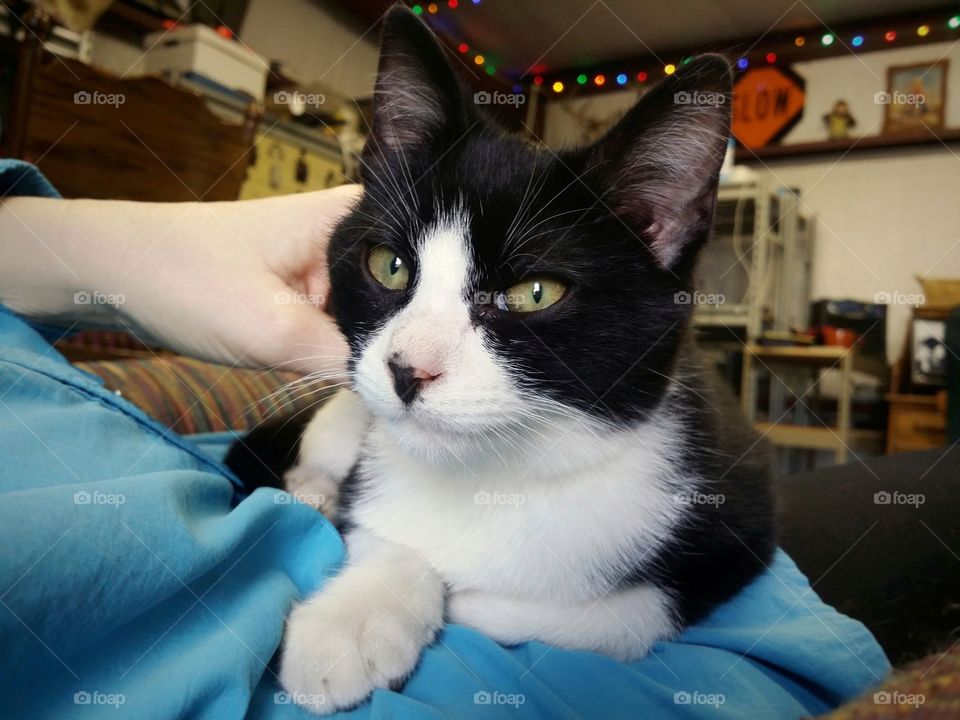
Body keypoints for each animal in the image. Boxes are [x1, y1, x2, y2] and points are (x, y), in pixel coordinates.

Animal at [229, 5, 776, 716]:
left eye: (535, 293)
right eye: (389, 264)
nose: (407, 369)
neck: (504, 473)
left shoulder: (743, 509)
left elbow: (634, 614)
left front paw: (471, 603)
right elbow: (380, 525)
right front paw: (353, 620)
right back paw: (312, 489)